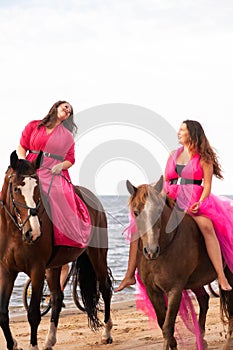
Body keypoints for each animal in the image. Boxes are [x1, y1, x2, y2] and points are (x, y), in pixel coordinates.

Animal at [0, 151, 113, 350]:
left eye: (37, 189)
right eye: (16, 189)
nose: (33, 232)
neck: (14, 231)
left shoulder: (37, 270)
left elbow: (33, 314)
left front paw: (33, 346)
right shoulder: (7, 270)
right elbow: (2, 313)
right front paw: (13, 344)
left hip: (97, 255)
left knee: (105, 288)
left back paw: (106, 334)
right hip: (54, 266)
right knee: (56, 298)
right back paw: (49, 340)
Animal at [126, 176, 233, 350]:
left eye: (158, 211)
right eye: (136, 212)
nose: (151, 251)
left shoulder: (174, 290)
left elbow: (167, 326)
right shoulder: (153, 291)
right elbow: (163, 322)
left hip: (229, 274)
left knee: (229, 302)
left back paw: (228, 340)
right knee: (204, 299)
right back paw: (201, 340)